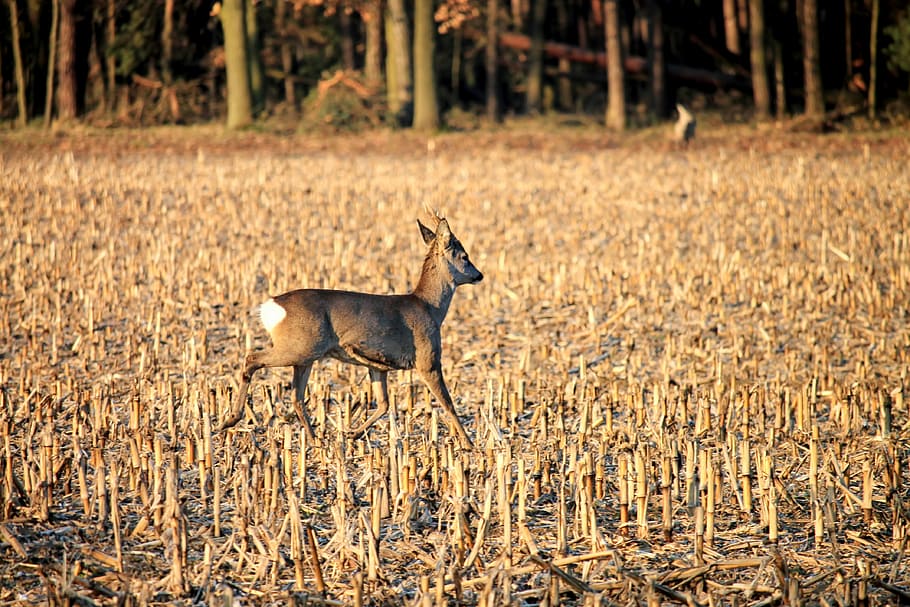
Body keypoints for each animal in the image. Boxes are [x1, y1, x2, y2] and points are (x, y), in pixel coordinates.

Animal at [220, 211, 483, 450]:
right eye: (464, 256)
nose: (479, 275)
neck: (430, 308)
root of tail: (271, 307)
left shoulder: (378, 367)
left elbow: (384, 404)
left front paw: (352, 434)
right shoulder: (428, 360)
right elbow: (447, 403)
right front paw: (469, 444)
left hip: (305, 357)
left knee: (296, 396)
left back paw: (315, 441)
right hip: (297, 348)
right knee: (252, 358)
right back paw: (230, 419)